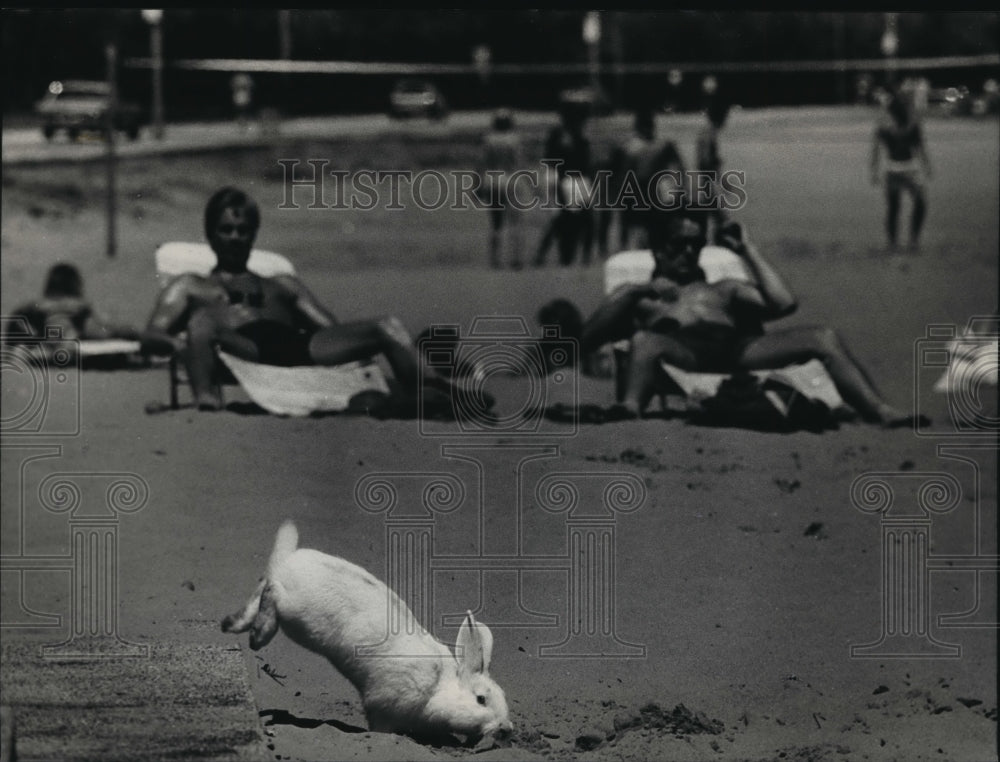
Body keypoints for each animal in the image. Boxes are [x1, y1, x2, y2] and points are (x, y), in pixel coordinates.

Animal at [222, 520, 512, 740]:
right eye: (481, 700)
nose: (506, 729)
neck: (440, 686)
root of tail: (289, 560)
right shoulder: (384, 704)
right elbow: (381, 725)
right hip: (294, 610)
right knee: (271, 593)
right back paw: (257, 636)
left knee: (261, 591)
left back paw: (233, 623)